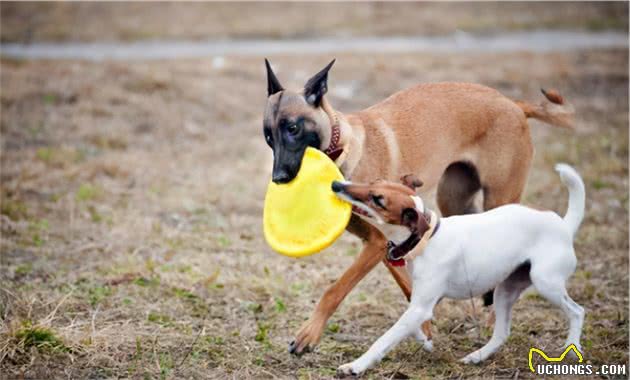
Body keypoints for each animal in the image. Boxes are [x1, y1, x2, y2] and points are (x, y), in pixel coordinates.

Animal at [264, 58, 576, 354]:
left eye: (293, 128)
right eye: (268, 136)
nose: (278, 178)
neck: (343, 148)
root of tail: (513, 104)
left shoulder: (376, 243)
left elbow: (336, 289)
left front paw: (308, 335)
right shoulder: (385, 244)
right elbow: (408, 285)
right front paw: (424, 329)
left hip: (499, 198)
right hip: (454, 200)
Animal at [336, 165, 588, 376]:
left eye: (378, 200)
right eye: (373, 182)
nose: (337, 185)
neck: (427, 239)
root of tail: (563, 226)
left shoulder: (420, 307)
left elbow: (386, 337)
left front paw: (356, 365)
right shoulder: (421, 302)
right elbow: (410, 326)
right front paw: (425, 340)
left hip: (546, 283)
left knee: (577, 311)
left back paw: (571, 348)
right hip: (505, 292)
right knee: (502, 333)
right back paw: (478, 356)